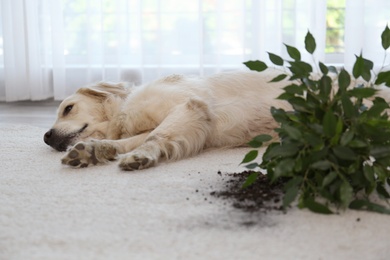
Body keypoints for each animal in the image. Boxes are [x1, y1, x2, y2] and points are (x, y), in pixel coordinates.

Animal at [44, 69, 290, 171]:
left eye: (68, 109)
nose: (46, 137)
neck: (124, 110)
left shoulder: (189, 107)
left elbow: (154, 137)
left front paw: (141, 155)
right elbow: (128, 141)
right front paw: (93, 150)